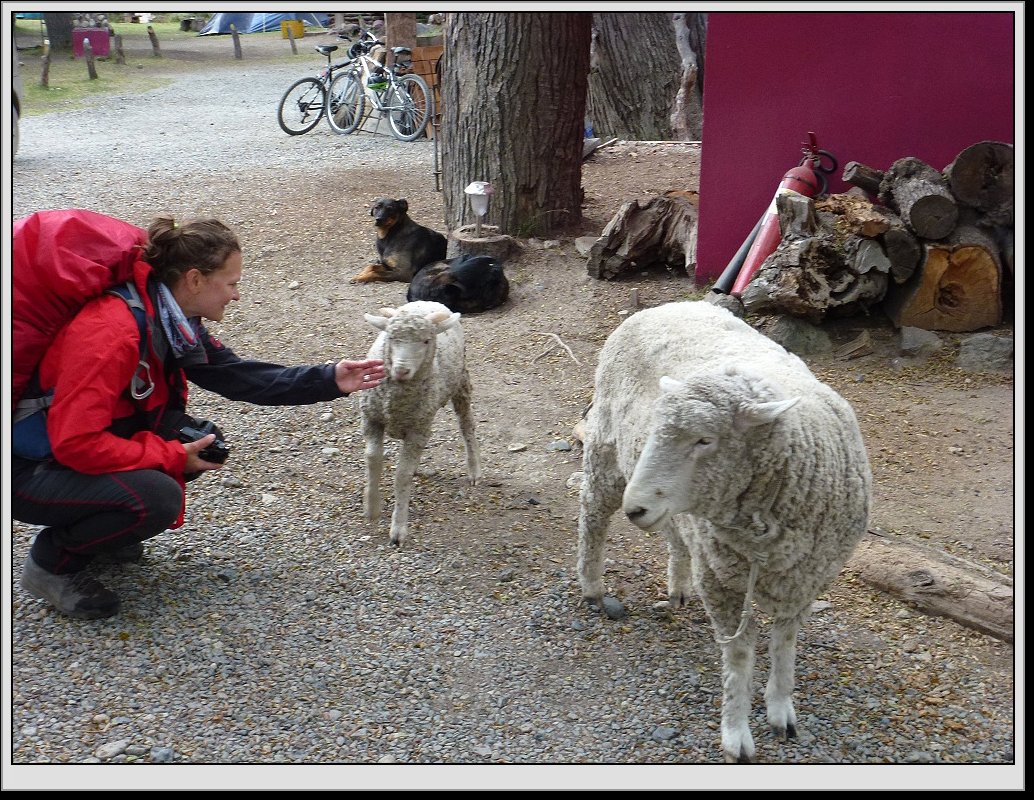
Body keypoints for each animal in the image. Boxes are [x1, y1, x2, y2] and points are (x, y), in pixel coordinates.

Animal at [359, 303, 479, 549]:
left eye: (425, 341)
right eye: (392, 337)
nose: (401, 370)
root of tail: (427, 301)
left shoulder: (417, 430)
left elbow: (402, 475)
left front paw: (398, 528)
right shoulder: (372, 419)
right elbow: (373, 459)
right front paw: (372, 507)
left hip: (460, 384)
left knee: (467, 425)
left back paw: (473, 469)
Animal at [579, 301, 868, 764]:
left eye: (704, 440)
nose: (635, 508)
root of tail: (668, 305)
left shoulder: (805, 579)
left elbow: (784, 644)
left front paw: (781, 708)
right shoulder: (721, 582)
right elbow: (739, 656)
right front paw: (736, 733)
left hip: (678, 512)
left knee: (676, 538)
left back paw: (677, 587)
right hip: (606, 449)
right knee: (592, 515)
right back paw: (591, 584)